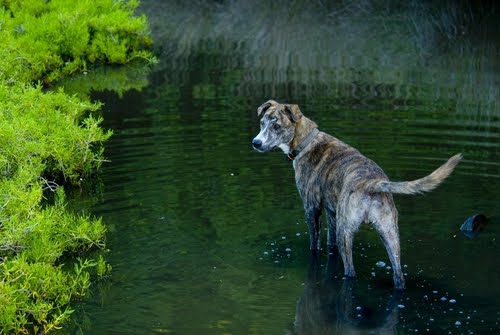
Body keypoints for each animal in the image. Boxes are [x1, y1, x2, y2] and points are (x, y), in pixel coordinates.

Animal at [252, 98, 462, 290]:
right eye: (262, 122)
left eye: (277, 126)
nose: (256, 143)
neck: (306, 140)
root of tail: (371, 183)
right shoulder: (332, 213)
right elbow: (331, 244)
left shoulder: (312, 209)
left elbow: (315, 244)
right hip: (390, 234)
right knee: (398, 275)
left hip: (346, 231)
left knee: (351, 271)